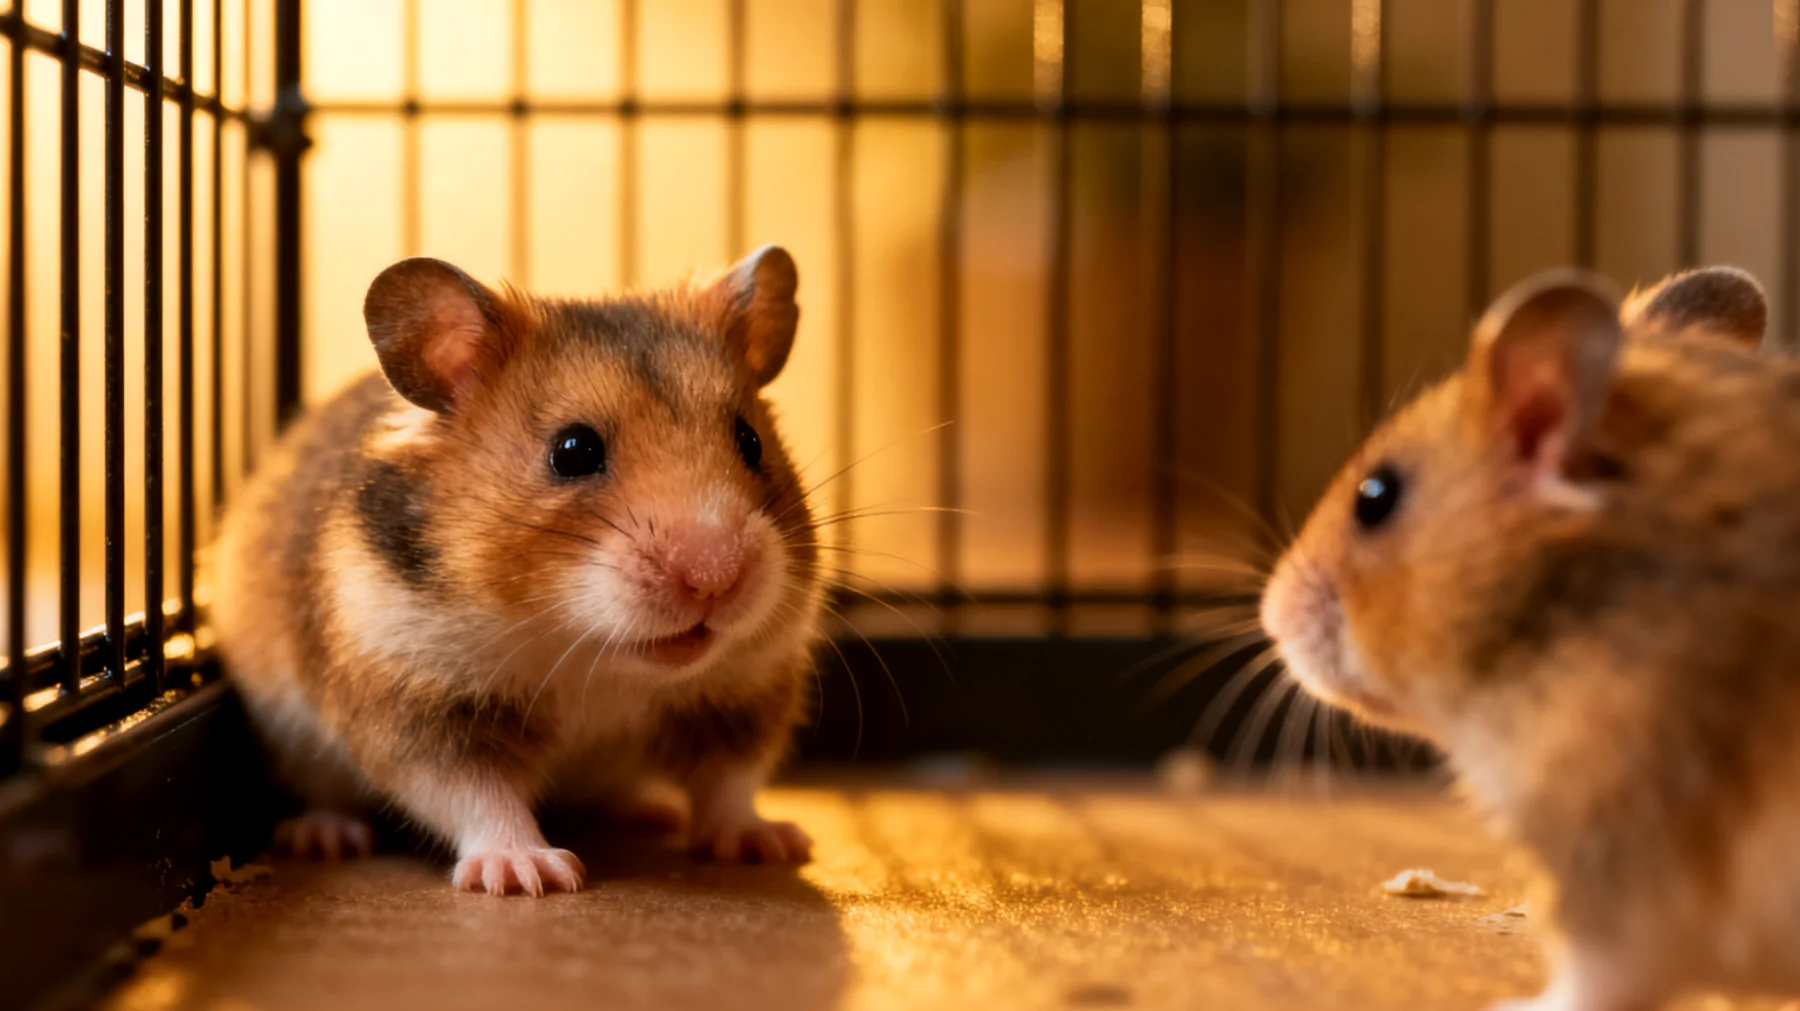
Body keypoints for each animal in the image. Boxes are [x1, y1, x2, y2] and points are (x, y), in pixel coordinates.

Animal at [208, 246, 825, 896]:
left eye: (750, 441)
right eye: (573, 451)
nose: (716, 578)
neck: (592, 656)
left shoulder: (745, 690)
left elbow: (729, 781)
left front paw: (768, 845)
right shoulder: (420, 702)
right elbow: (477, 794)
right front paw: (529, 875)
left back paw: (654, 810)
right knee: (327, 797)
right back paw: (324, 838)